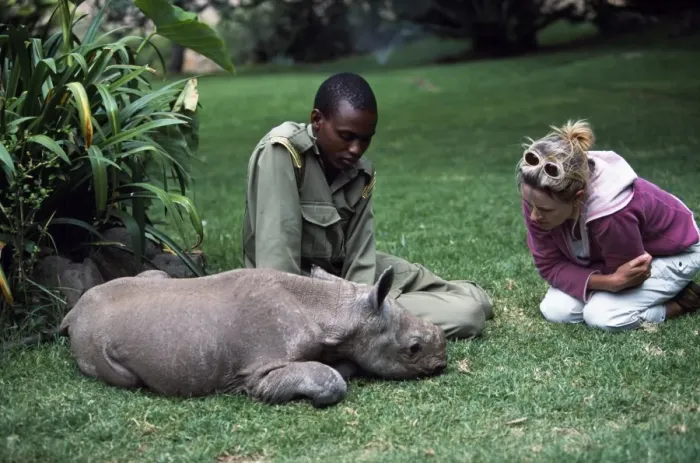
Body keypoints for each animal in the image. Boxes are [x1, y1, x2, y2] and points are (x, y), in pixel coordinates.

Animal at [58, 265, 447, 407]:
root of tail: (74, 311)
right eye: (413, 349)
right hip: (94, 341)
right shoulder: (259, 371)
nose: (442, 364)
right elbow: (330, 380)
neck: (335, 311)